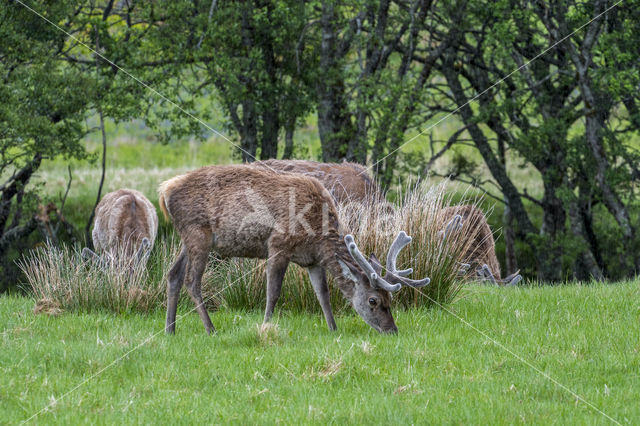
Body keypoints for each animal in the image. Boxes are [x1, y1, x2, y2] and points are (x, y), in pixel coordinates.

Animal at [157, 165, 428, 334]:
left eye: (390, 300)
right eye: (373, 300)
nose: (392, 330)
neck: (317, 232)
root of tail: (164, 190)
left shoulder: (313, 260)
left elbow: (323, 294)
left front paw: (333, 328)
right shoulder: (278, 243)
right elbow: (273, 292)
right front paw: (266, 325)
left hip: (189, 239)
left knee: (173, 274)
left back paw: (170, 329)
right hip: (197, 232)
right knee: (192, 281)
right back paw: (210, 329)